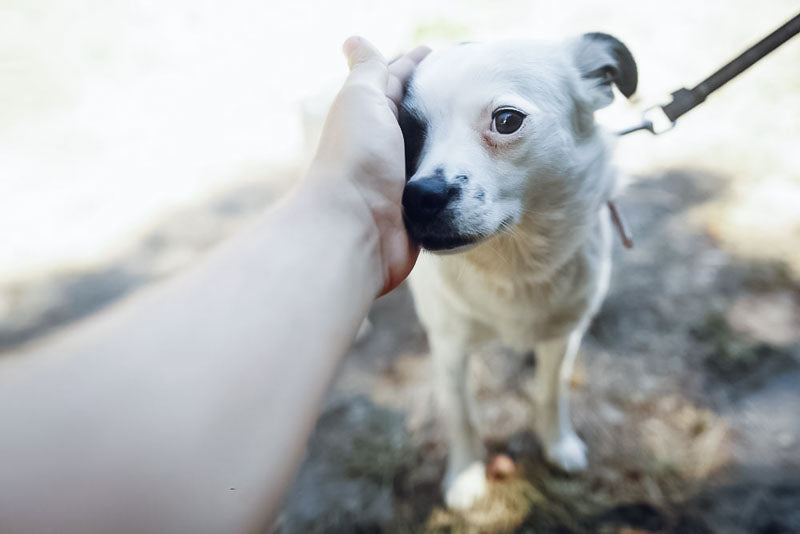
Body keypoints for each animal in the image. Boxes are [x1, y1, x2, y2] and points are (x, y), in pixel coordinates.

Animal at [400, 33, 636, 510]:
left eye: (506, 120)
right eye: (405, 131)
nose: (420, 197)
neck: (513, 262)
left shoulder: (563, 336)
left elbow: (550, 390)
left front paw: (558, 443)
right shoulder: (450, 347)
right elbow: (461, 413)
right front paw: (465, 475)